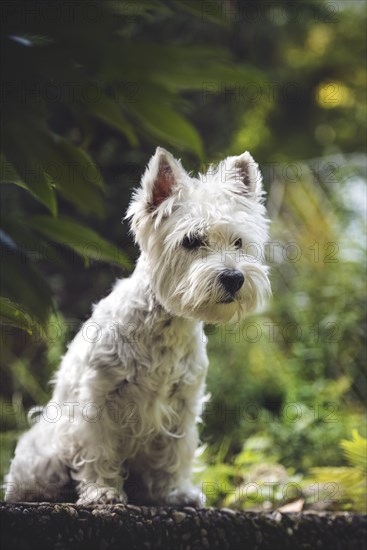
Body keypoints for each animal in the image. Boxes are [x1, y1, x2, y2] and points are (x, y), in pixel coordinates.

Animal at [5, 148, 270, 508]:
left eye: (238, 241)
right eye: (191, 240)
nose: (234, 278)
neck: (167, 324)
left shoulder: (182, 404)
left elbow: (174, 452)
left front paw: (175, 492)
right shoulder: (98, 397)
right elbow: (98, 449)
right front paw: (102, 491)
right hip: (42, 450)